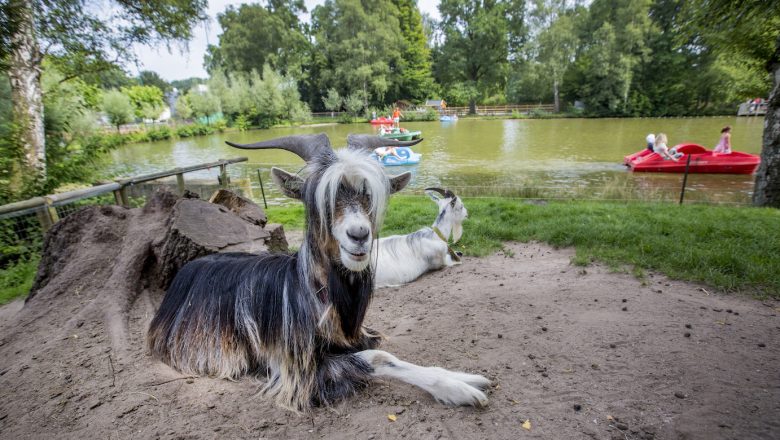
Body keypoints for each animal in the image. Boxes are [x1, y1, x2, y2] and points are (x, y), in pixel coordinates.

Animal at [145, 133, 488, 410]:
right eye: (320, 198)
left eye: (369, 194)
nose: (359, 235)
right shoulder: (296, 369)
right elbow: (378, 359)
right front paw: (457, 389)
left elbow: (384, 354)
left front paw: (467, 377)